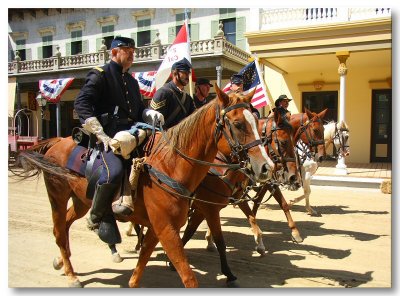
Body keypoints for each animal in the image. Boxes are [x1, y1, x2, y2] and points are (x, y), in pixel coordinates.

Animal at [13, 84, 276, 288]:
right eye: (239, 124)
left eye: (257, 121)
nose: (267, 167)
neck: (171, 164)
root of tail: (58, 141)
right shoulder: (173, 225)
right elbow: (190, 274)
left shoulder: (162, 226)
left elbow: (142, 267)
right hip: (57, 197)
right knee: (59, 231)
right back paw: (71, 275)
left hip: (81, 201)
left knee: (67, 225)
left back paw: (63, 260)